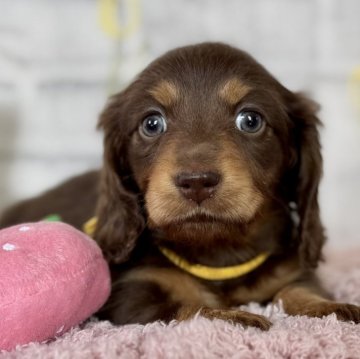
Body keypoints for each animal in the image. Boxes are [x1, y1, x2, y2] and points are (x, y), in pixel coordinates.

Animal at [1, 43, 358, 330]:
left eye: (251, 120)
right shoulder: (131, 294)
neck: (217, 251)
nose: (196, 182)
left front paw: (332, 307)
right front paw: (236, 316)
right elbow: (189, 306)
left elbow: (298, 289)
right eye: (152, 123)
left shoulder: (291, 270)